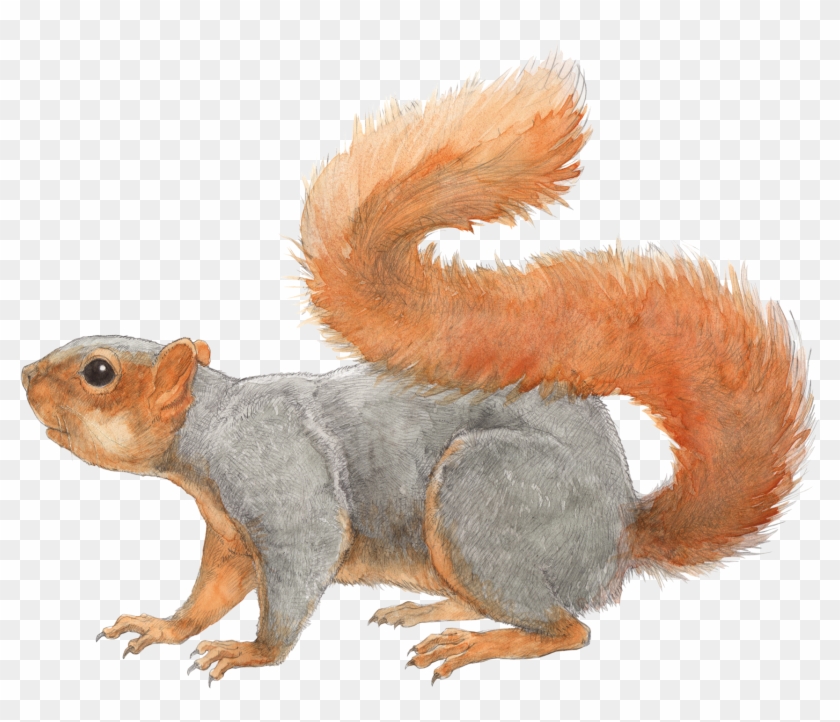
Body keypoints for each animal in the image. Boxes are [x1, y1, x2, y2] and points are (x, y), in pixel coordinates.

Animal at [21, 55, 813, 685]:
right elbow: (211, 591)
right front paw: (164, 626)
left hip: (484, 496)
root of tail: (620, 533)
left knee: (568, 627)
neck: (208, 432)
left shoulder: (281, 486)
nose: (24, 376)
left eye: (98, 372)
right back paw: (431, 607)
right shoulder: (228, 534)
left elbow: (300, 567)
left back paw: (475, 642)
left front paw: (252, 654)